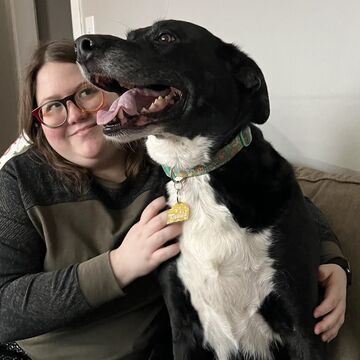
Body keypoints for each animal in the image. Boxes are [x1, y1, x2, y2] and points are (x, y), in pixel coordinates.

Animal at [75, 19, 324, 360]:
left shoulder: (301, 324)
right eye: (130, 37)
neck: (195, 173)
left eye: (166, 37)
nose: (80, 44)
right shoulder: (181, 325)